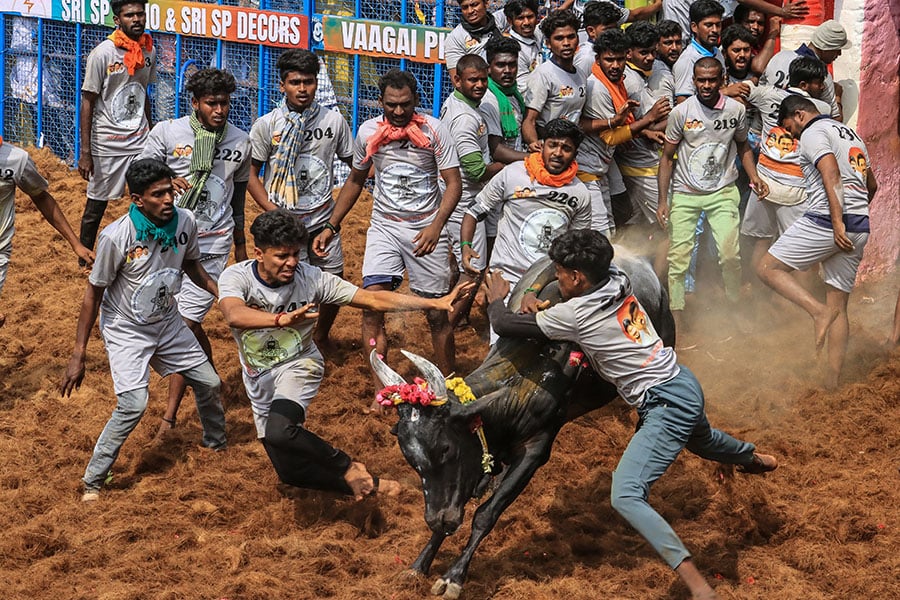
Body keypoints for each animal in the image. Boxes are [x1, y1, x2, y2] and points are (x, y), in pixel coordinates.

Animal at [370, 254, 676, 600]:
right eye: (411, 459)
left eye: (445, 448)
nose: (438, 520)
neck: (525, 373)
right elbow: (461, 502)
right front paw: (419, 564)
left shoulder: (534, 451)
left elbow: (485, 514)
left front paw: (453, 577)